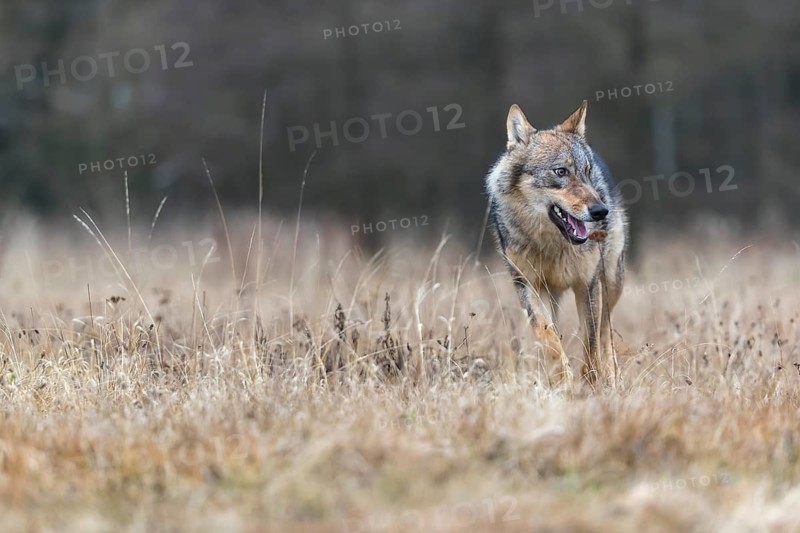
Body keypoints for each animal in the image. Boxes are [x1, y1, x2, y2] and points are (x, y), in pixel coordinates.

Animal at [485, 101, 627, 387]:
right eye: (561, 171)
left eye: (587, 172)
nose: (601, 211)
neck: (553, 245)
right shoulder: (527, 285)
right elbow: (547, 335)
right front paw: (562, 379)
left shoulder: (588, 285)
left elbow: (591, 342)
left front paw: (592, 383)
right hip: (553, 294)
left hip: (612, 282)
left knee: (605, 331)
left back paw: (612, 376)